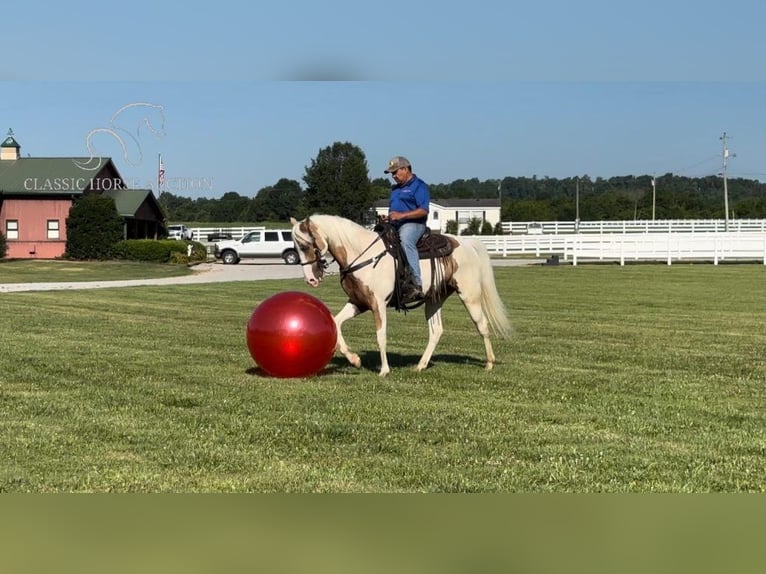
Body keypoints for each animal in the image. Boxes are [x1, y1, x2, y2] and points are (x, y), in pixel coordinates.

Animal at [292, 215, 512, 378]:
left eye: (305, 245)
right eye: (296, 247)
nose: (310, 279)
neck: (363, 255)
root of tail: (466, 244)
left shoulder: (378, 304)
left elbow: (381, 336)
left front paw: (384, 370)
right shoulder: (358, 302)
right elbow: (336, 323)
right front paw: (355, 360)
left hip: (469, 295)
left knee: (482, 325)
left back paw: (489, 364)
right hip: (434, 299)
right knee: (436, 331)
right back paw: (421, 365)